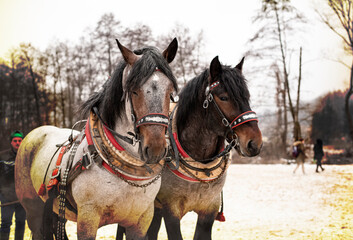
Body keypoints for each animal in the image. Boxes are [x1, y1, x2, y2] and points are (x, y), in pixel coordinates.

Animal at [14, 38, 179, 239]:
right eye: (133, 91)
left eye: (170, 90)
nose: (155, 148)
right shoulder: (88, 218)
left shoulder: (141, 221)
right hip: (33, 210)